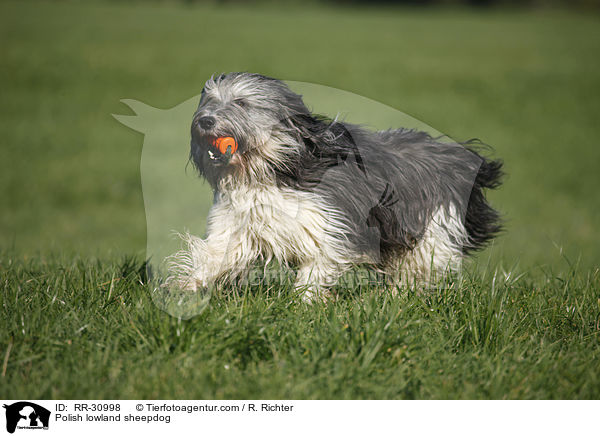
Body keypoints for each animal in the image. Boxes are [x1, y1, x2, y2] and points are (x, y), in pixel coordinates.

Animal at [168, 72, 502, 304]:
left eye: (241, 103)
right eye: (209, 101)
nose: (205, 121)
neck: (274, 170)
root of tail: (457, 157)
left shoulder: (327, 226)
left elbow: (316, 267)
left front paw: (303, 303)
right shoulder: (238, 223)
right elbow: (216, 254)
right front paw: (188, 284)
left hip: (430, 227)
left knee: (420, 266)